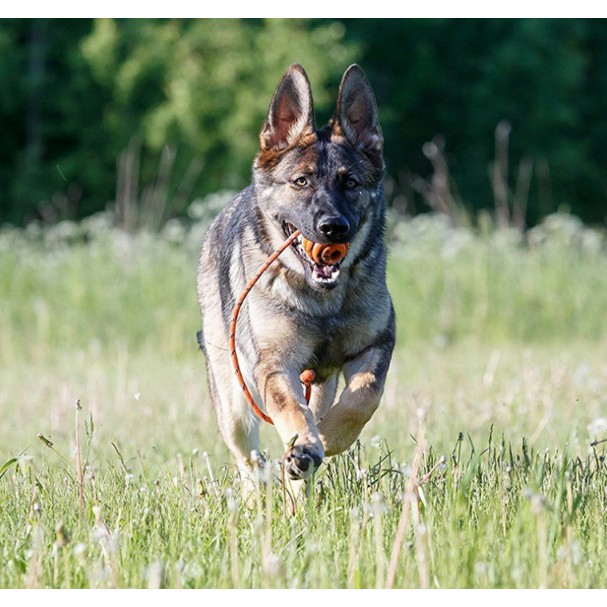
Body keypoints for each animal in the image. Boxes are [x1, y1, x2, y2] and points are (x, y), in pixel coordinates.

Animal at [197, 65, 396, 484]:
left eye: (350, 183)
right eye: (301, 181)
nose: (333, 228)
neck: (324, 302)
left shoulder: (375, 346)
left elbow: (364, 396)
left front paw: (327, 436)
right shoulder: (277, 364)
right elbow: (289, 408)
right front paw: (306, 445)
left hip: (319, 382)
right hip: (234, 403)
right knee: (250, 459)